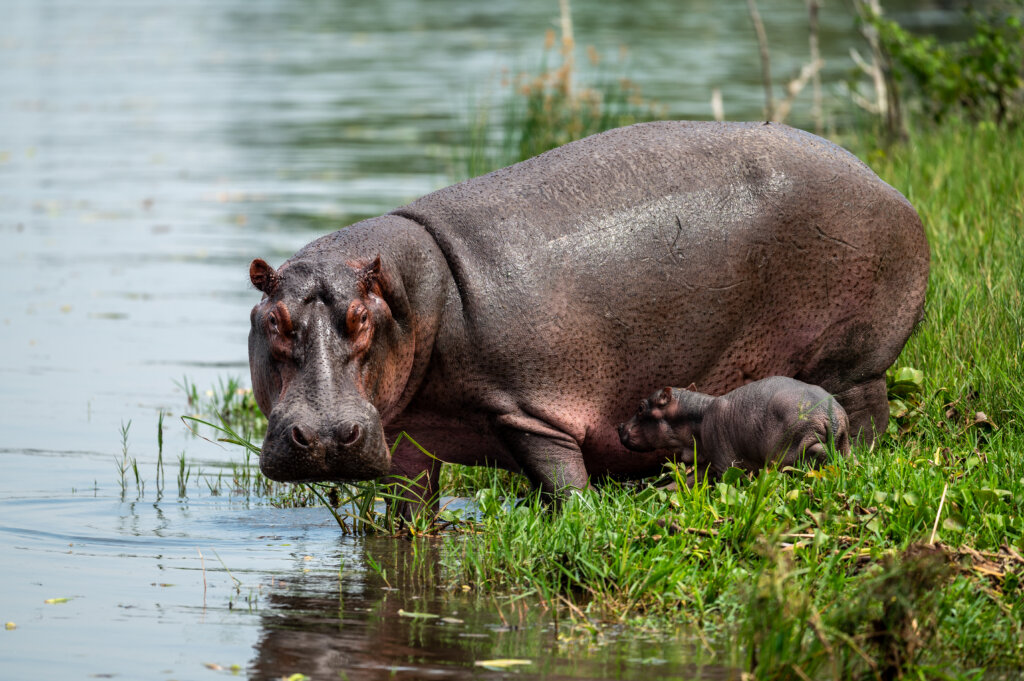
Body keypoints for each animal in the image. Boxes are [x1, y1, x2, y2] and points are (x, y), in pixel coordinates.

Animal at [618, 376, 851, 477]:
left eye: (640, 407)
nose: (619, 426)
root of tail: (831, 415)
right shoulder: (706, 462)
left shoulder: (723, 462)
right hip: (844, 440)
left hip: (794, 445)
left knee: (816, 451)